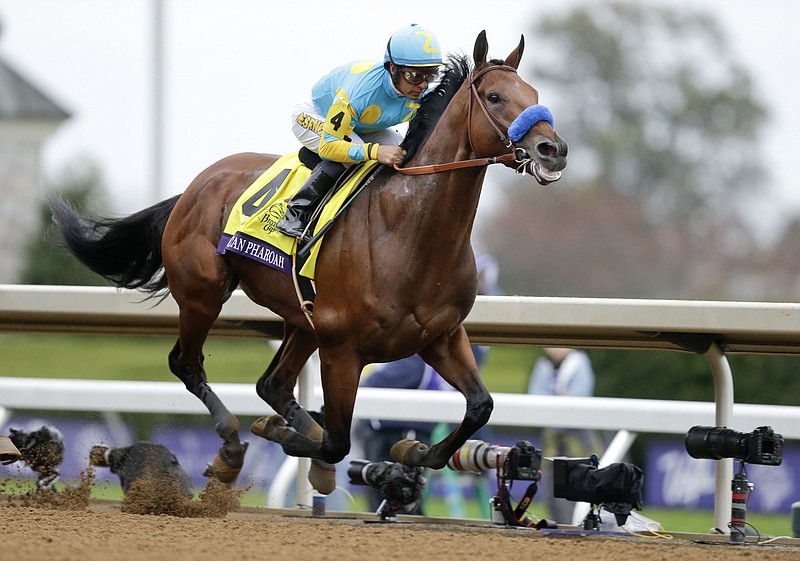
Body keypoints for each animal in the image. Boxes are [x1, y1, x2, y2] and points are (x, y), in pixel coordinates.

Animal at [48, 31, 568, 494]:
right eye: (496, 97)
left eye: (536, 96)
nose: (553, 150)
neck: (407, 231)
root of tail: (195, 186)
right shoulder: (343, 350)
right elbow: (338, 441)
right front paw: (282, 436)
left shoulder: (440, 335)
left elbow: (480, 406)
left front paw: (414, 452)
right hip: (203, 295)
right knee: (188, 363)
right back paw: (233, 447)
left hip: (302, 320)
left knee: (272, 384)